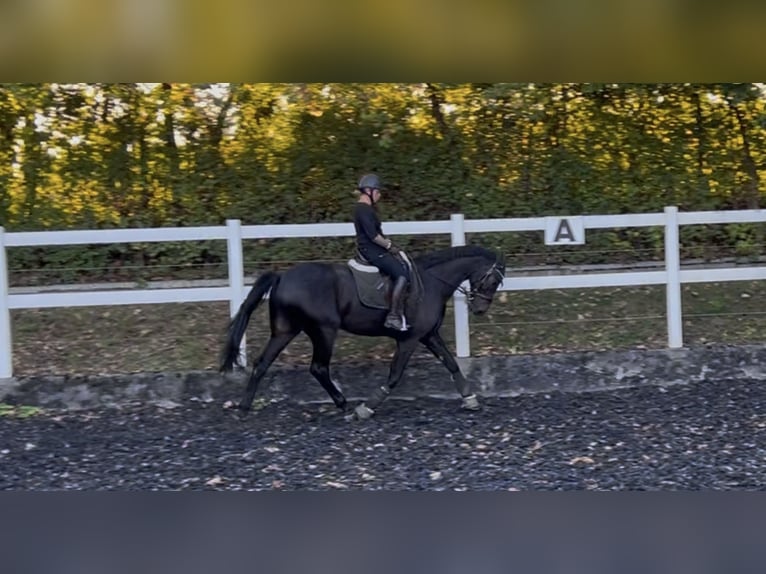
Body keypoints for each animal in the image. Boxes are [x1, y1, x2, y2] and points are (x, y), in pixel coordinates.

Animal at [219, 244, 506, 419]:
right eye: (493, 280)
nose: (480, 309)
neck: (432, 282)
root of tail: (282, 277)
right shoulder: (410, 339)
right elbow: (394, 376)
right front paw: (367, 407)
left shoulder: (428, 335)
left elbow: (451, 363)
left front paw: (470, 399)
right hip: (324, 331)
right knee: (318, 368)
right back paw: (345, 405)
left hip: (285, 331)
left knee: (262, 363)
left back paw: (244, 408)